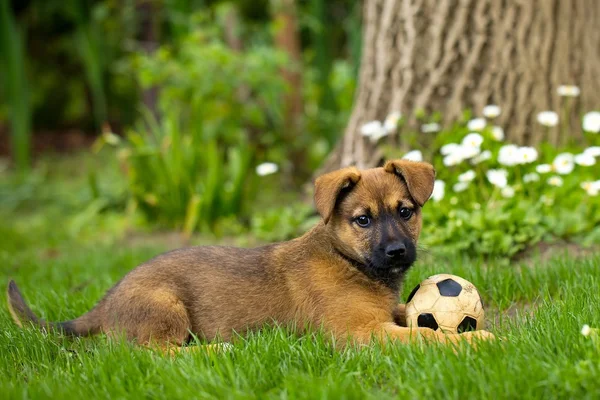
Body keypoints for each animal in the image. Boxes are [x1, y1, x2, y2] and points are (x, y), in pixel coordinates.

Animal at [5, 159, 492, 350]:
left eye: (405, 211)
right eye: (362, 220)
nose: (397, 251)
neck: (347, 261)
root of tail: (105, 304)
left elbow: (421, 326)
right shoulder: (361, 334)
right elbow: (429, 335)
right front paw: (480, 340)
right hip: (165, 306)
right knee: (155, 354)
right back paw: (216, 350)